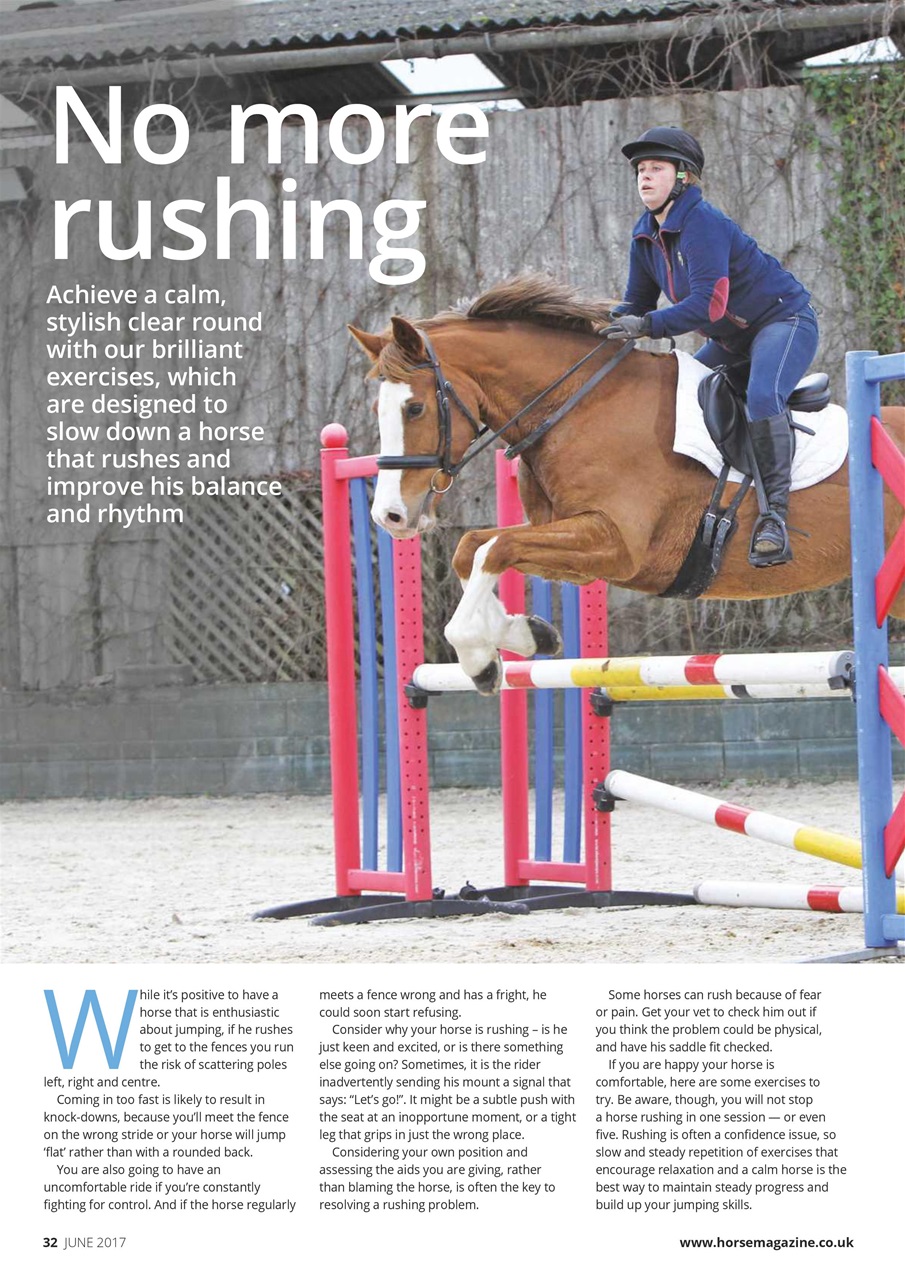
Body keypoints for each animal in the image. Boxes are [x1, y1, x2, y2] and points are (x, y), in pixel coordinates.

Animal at [350, 276, 905, 694]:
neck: (579, 404)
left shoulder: (617, 544)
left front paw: (480, 659)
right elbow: (475, 548)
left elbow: (493, 549)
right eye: (378, 408)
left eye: (414, 408)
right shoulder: (574, 546)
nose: (390, 516)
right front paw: (525, 637)